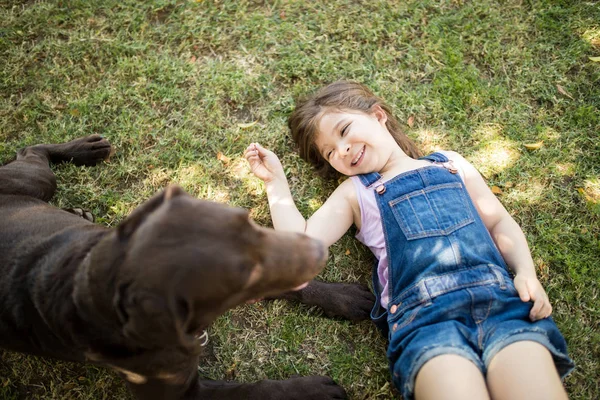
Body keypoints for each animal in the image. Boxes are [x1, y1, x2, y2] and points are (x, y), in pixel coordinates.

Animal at [0, 136, 352, 398]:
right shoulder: (187, 393)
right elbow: (254, 389)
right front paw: (311, 390)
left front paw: (344, 297)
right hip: (36, 180)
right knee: (29, 150)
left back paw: (84, 155)